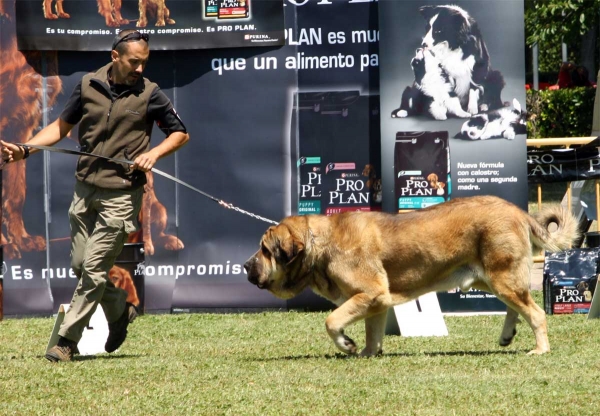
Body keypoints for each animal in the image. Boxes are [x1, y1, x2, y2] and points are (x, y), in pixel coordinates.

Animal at [245, 197, 580, 356]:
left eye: (264, 249)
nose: (246, 266)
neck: (319, 243)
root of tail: (519, 212)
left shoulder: (370, 293)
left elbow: (332, 321)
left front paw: (347, 344)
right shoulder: (376, 302)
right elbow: (373, 331)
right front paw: (367, 352)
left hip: (501, 276)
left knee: (534, 312)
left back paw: (540, 349)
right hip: (491, 278)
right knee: (517, 306)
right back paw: (507, 335)